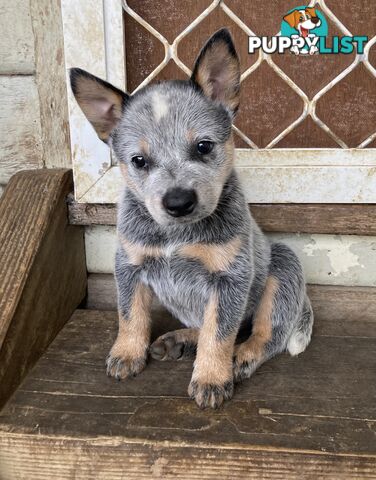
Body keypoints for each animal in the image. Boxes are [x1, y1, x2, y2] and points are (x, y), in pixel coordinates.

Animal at [70, 28, 314, 408]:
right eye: (139, 160)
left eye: (203, 147)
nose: (178, 201)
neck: (176, 235)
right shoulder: (129, 265)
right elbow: (129, 315)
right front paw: (126, 353)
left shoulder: (229, 278)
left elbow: (220, 332)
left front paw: (212, 378)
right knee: (205, 326)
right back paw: (181, 339)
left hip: (284, 268)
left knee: (264, 334)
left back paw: (242, 356)